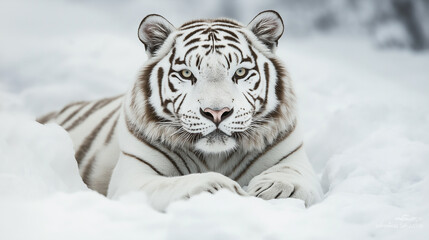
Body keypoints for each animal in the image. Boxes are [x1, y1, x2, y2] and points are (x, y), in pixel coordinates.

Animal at [38, 10, 320, 210]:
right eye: (186, 74)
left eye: (240, 72)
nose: (217, 113)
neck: (215, 157)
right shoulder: (133, 178)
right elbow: (172, 184)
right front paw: (218, 186)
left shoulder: (293, 158)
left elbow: (293, 176)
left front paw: (273, 189)